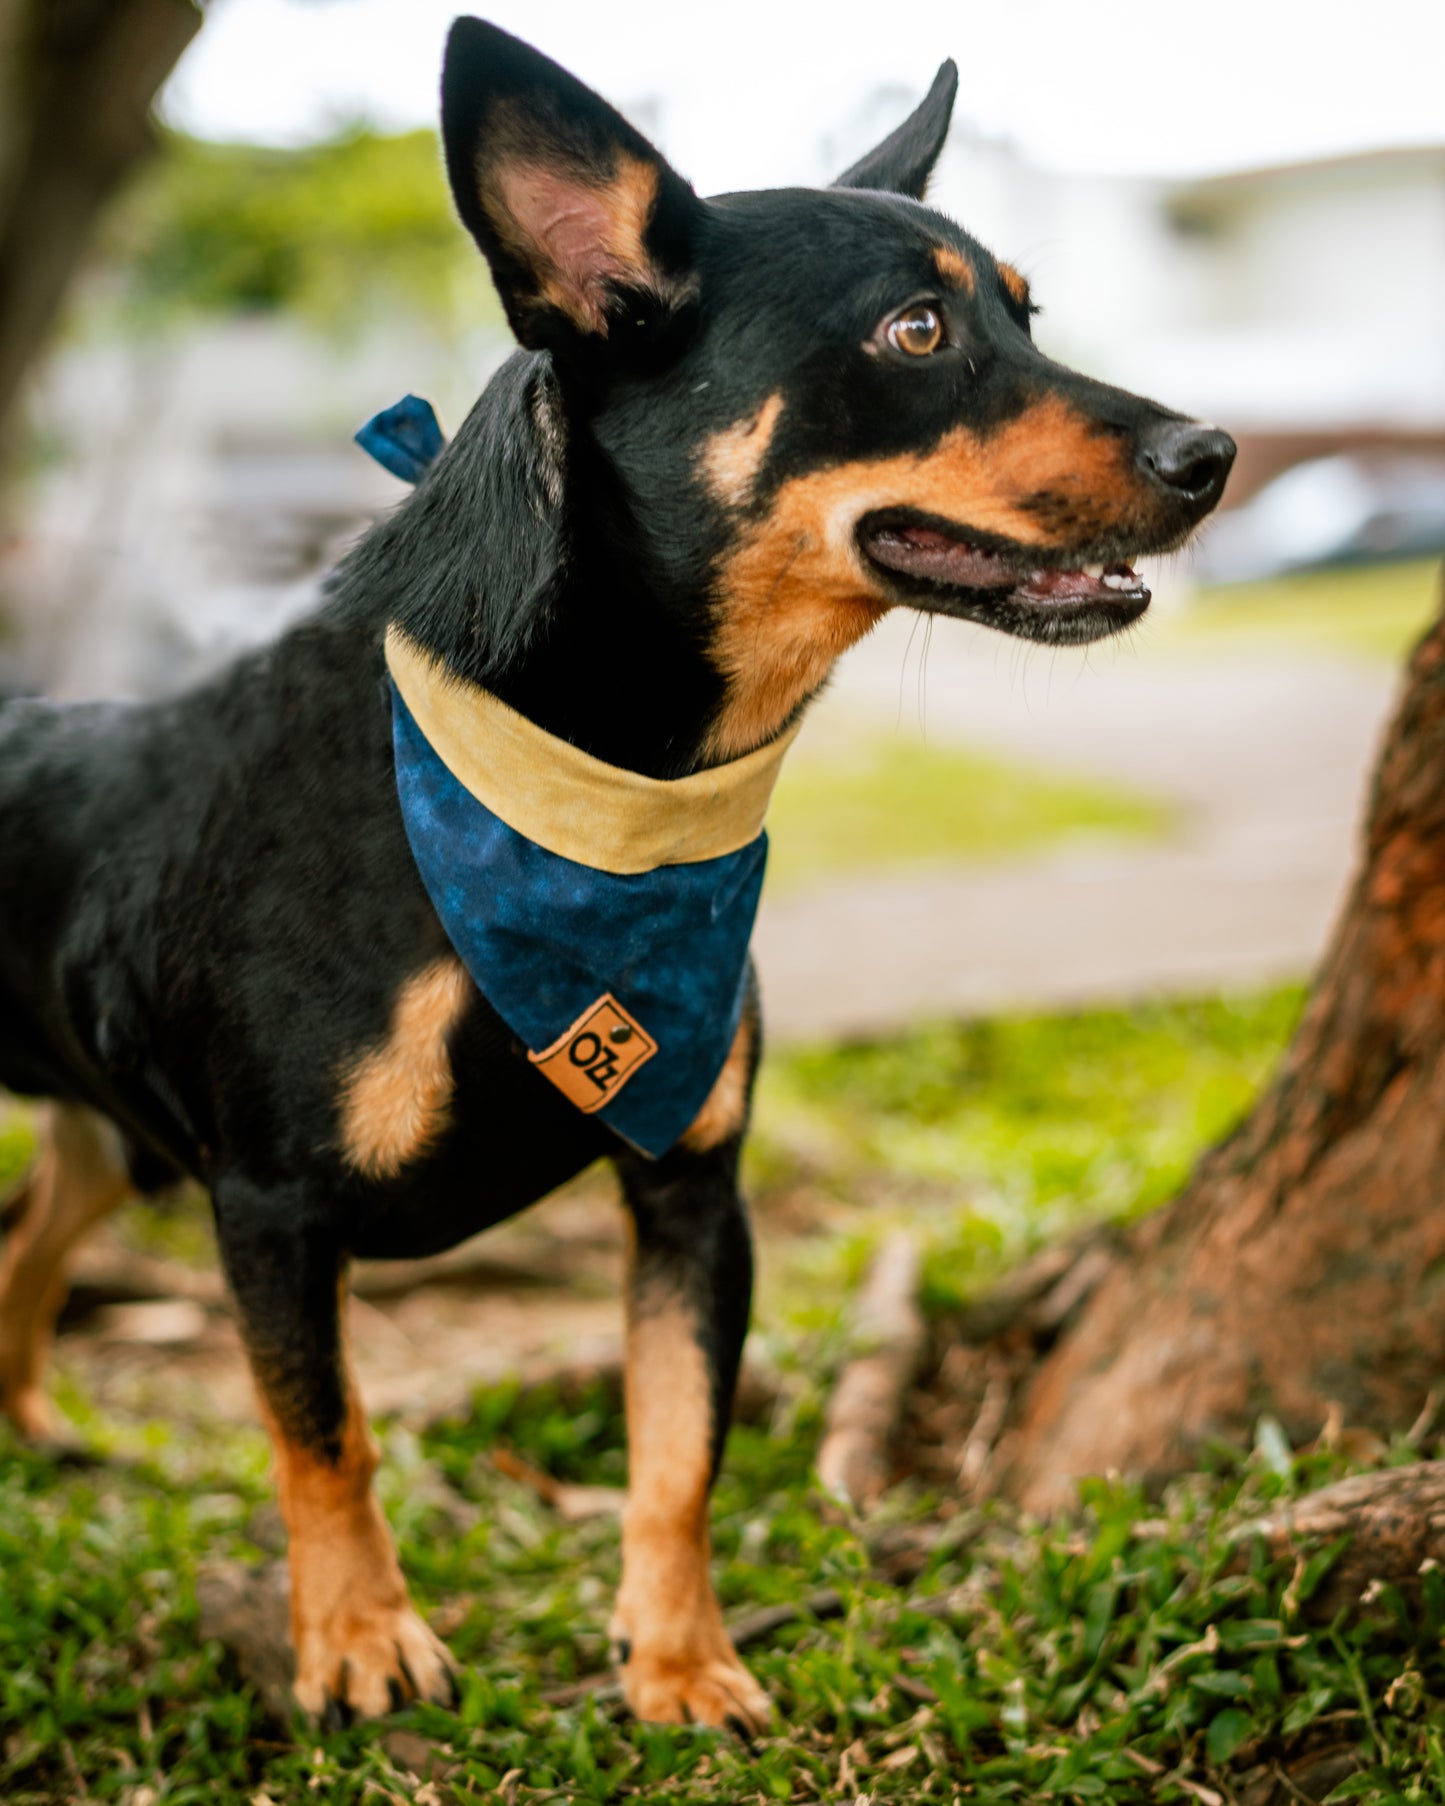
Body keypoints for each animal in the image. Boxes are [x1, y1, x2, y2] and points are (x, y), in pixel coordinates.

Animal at [0, 17, 1228, 1733]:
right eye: (917, 330)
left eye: (1023, 314)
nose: (1215, 452)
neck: (579, 795)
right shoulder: (271, 1209)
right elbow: (329, 1435)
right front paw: (359, 1636)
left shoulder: (691, 1188)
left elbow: (675, 1456)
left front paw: (679, 1656)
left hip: (109, 1137)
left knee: (24, 1237)